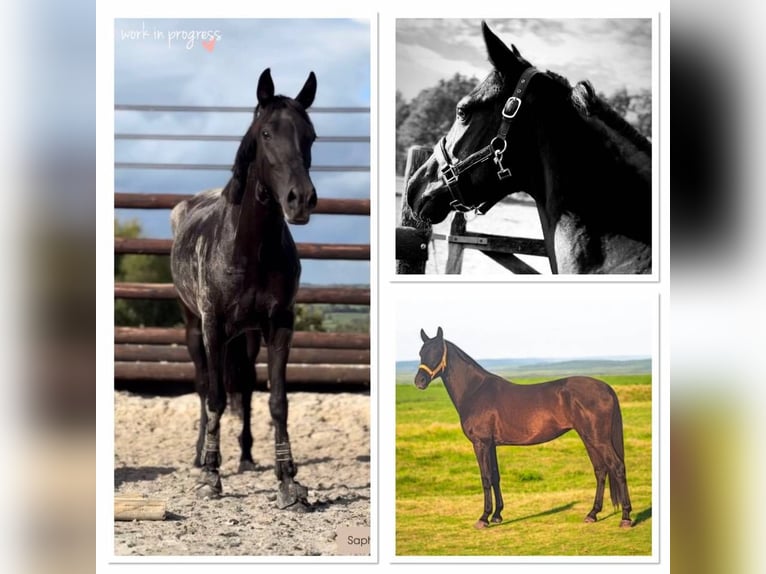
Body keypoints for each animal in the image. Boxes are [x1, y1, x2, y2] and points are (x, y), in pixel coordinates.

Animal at [170, 68, 318, 509]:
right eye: (266, 133)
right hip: (194, 328)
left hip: (247, 337)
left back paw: (248, 457)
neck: (250, 248)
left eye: (311, 136)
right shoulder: (214, 326)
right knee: (204, 386)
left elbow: (277, 401)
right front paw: (211, 475)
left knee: (247, 388)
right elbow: (216, 396)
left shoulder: (279, 325)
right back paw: (201, 456)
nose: (300, 199)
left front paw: (288, 480)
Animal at [415, 327, 633, 528]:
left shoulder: (480, 443)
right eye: (421, 352)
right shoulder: (491, 444)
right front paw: (497, 515)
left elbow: (485, 477)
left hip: (598, 439)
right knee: (601, 470)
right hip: (589, 438)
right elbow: (495, 476)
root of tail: (607, 388)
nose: (419, 381)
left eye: (437, 351)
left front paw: (484, 518)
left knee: (617, 467)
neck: (475, 390)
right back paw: (592, 514)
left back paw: (626, 517)